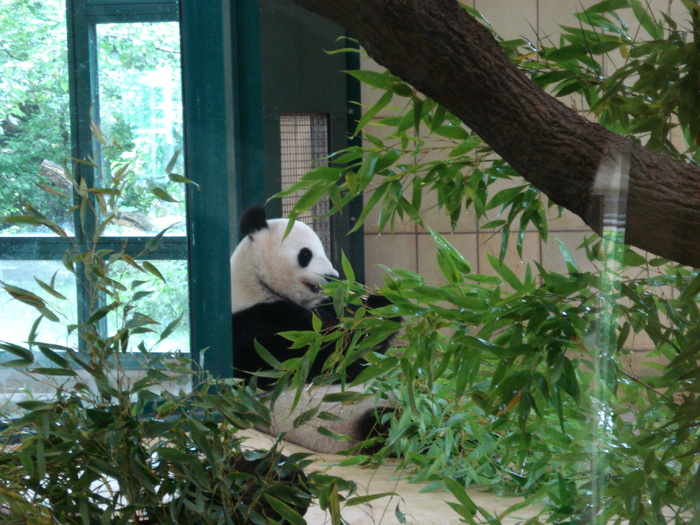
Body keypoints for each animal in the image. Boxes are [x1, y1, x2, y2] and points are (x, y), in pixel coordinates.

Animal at [231, 204, 400, 450]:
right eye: (305, 254)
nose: (332, 276)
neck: (256, 283)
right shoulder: (262, 328)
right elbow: (337, 359)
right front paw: (382, 309)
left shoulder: (325, 306)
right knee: (389, 424)